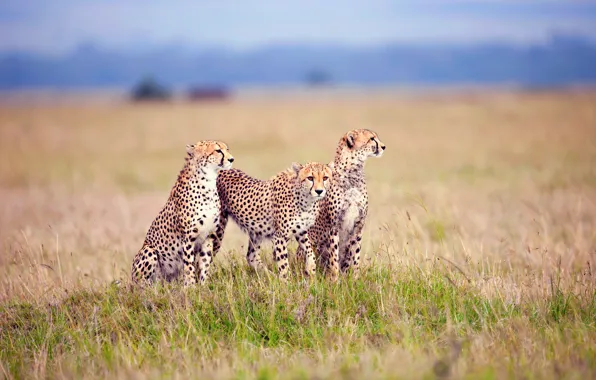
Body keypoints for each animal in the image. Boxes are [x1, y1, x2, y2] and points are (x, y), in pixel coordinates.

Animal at [132, 141, 234, 286]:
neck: (208, 183)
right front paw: (190, 287)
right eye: (218, 151)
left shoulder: (208, 236)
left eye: (227, 149)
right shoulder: (188, 238)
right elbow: (189, 265)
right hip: (148, 251)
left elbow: (204, 264)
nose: (231, 159)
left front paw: (203, 286)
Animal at [298, 128, 386, 280]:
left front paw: (354, 279)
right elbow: (334, 256)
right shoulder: (334, 226)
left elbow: (354, 255)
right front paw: (334, 279)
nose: (383, 146)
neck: (353, 173)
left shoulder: (358, 224)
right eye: (371, 139)